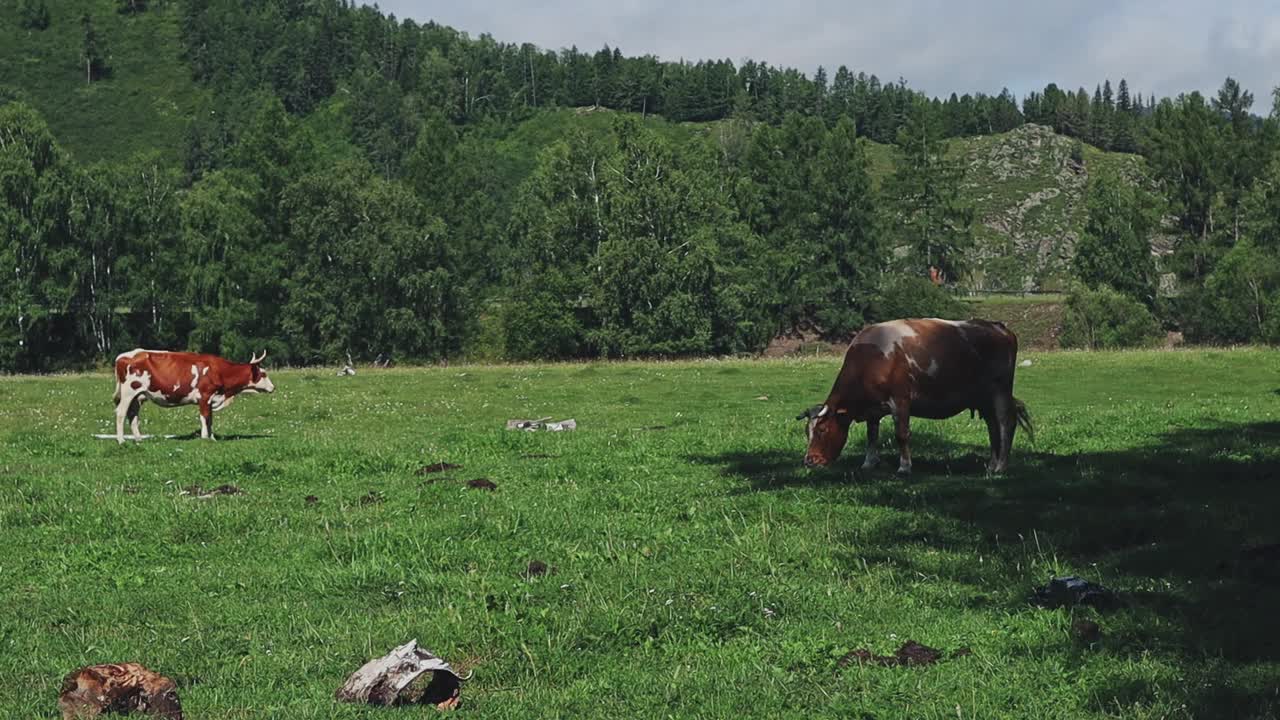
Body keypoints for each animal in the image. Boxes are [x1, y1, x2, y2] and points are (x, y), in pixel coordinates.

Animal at [113, 345, 276, 440]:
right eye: (264, 374)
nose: (273, 387)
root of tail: (123, 356)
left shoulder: (211, 399)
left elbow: (210, 419)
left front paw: (212, 438)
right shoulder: (204, 397)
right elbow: (204, 418)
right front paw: (205, 438)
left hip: (138, 396)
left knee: (133, 415)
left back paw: (139, 440)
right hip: (128, 393)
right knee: (121, 413)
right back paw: (121, 440)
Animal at [798, 316, 1029, 474]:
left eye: (822, 430)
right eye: (807, 432)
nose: (809, 461)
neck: (873, 358)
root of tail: (998, 327)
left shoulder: (900, 400)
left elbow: (901, 434)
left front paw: (905, 467)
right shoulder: (873, 409)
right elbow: (872, 436)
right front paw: (869, 463)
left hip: (1000, 391)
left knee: (1005, 423)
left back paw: (1001, 467)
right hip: (983, 398)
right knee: (992, 427)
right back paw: (991, 464)